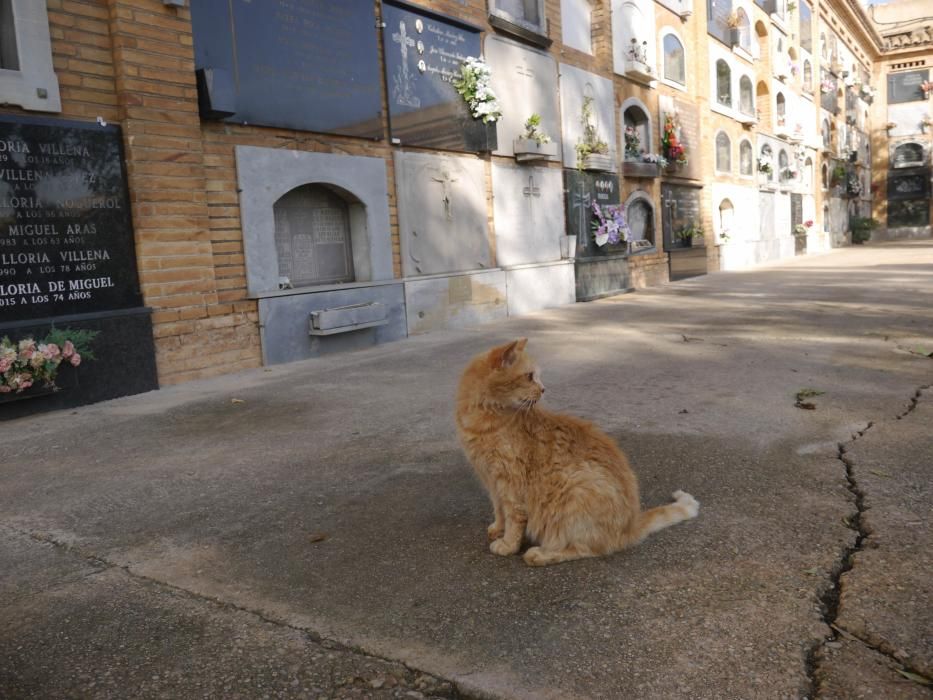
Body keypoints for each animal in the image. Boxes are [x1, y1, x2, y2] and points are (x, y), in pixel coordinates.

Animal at [456, 336, 696, 568]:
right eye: (530, 376)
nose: (543, 389)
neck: (482, 418)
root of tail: (631, 525)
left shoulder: (510, 483)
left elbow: (513, 516)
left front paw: (507, 544)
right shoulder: (490, 480)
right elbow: (499, 509)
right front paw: (498, 528)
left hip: (576, 488)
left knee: (584, 549)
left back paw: (539, 555)